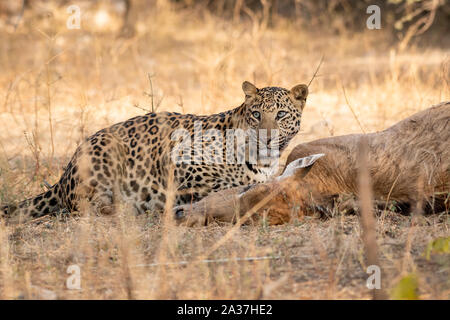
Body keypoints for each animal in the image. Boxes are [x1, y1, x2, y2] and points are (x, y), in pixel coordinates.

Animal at [0, 81, 308, 222]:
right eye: (257, 114)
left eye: (280, 114)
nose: (266, 137)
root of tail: (63, 175)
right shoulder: (182, 162)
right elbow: (222, 183)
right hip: (105, 152)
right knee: (85, 207)